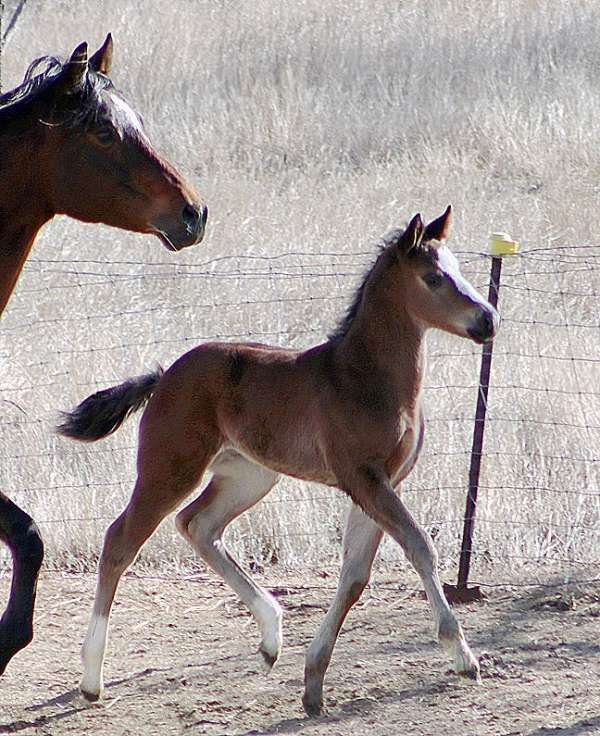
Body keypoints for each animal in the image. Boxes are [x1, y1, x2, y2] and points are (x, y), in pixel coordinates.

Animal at [58, 207, 500, 712]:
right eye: (432, 277)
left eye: (460, 269)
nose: (487, 319)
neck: (364, 377)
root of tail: (165, 374)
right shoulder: (364, 477)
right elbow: (419, 546)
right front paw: (462, 655)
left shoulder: (382, 481)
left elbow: (354, 575)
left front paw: (314, 681)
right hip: (170, 467)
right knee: (121, 541)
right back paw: (91, 680)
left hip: (249, 476)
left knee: (198, 524)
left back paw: (271, 637)